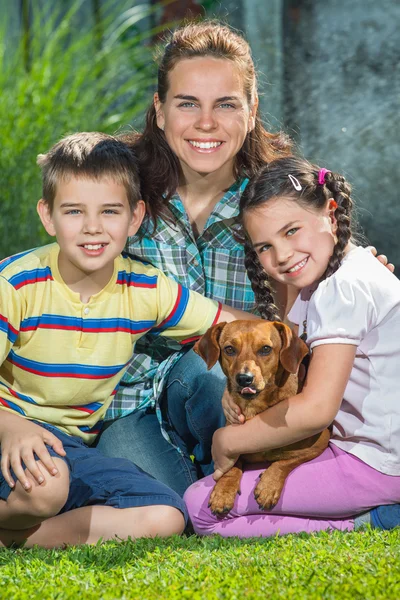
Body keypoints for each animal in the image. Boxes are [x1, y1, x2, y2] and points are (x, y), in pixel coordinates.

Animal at [193, 322, 328, 512]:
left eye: (265, 349)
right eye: (229, 349)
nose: (244, 378)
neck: (253, 408)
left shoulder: (319, 444)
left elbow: (285, 462)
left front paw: (269, 486)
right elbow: (231, 465)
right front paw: (223, 491)